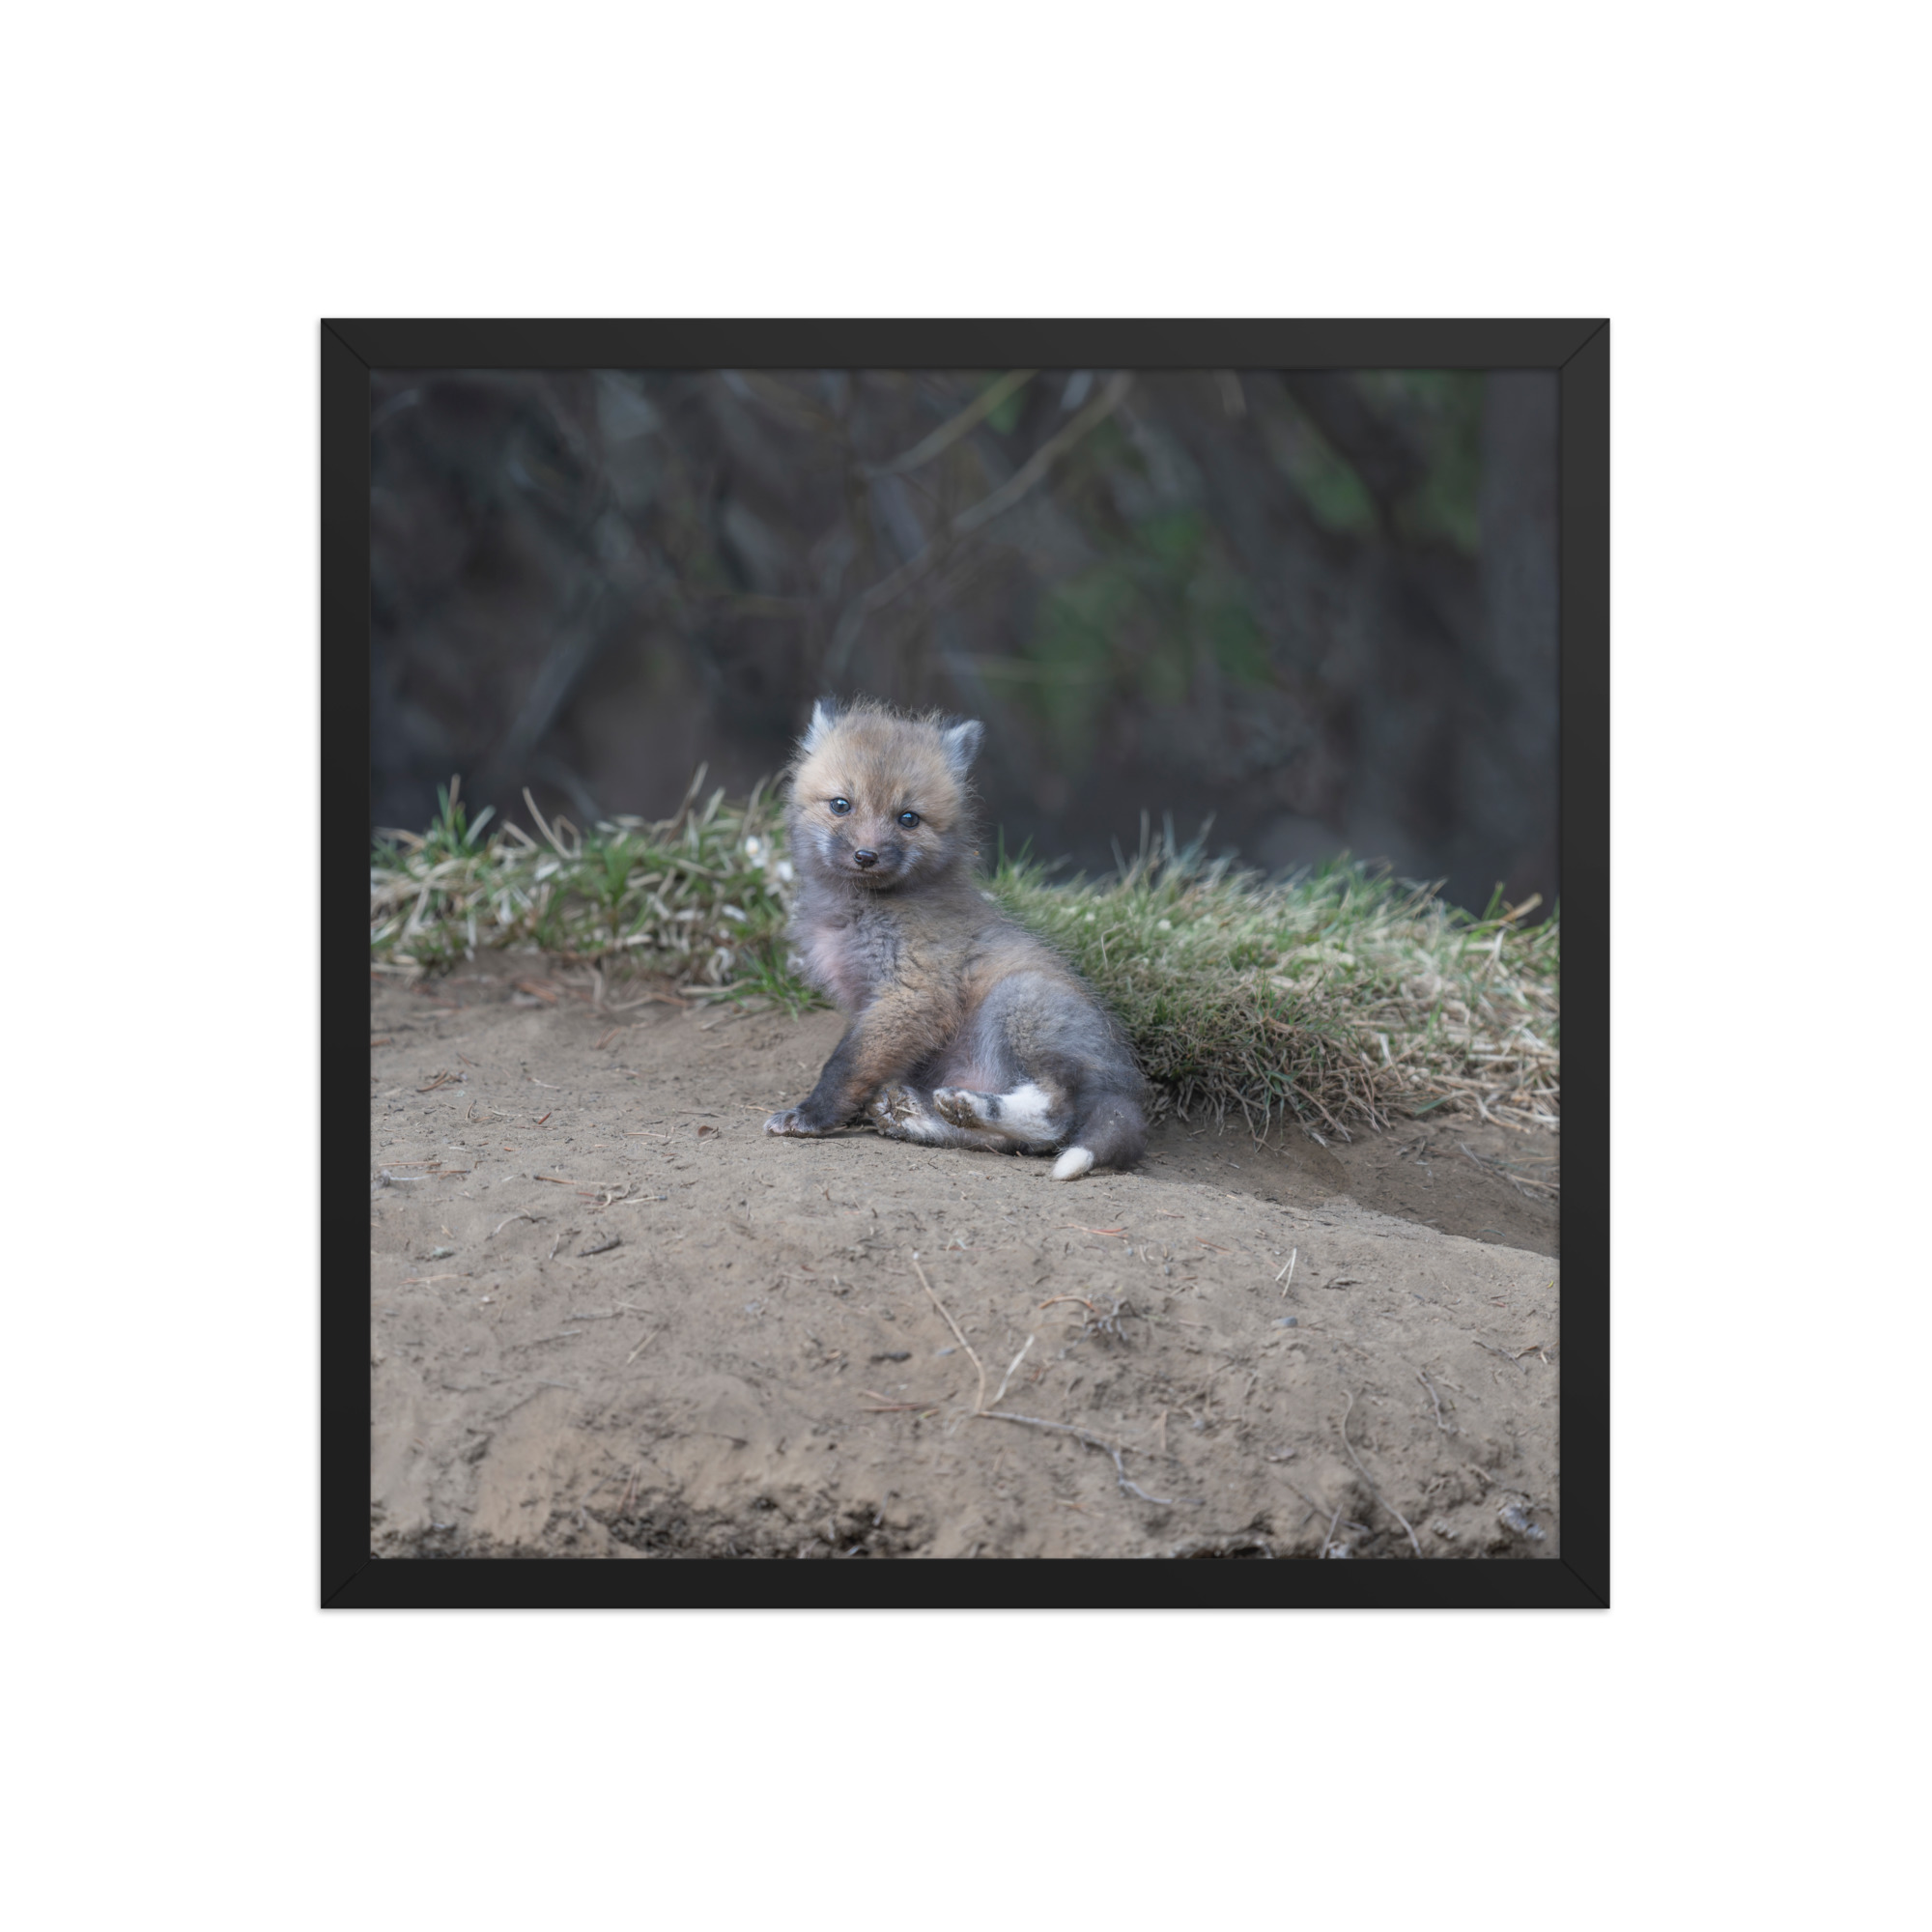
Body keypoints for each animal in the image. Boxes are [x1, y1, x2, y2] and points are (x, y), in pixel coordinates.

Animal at [762, 698, 1148, 1179]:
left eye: (908, 818)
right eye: (841, 805)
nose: (866, 856)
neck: (860, 911)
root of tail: (1125, 1086)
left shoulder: (913, 992)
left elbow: (845, 1065)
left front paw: (812, 1116)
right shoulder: (871, 1003)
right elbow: (862, 1065)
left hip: (1018, 1002)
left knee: (1054, 1117)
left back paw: (967, 1106)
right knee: (1011, 1142)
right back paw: (919, 1116)